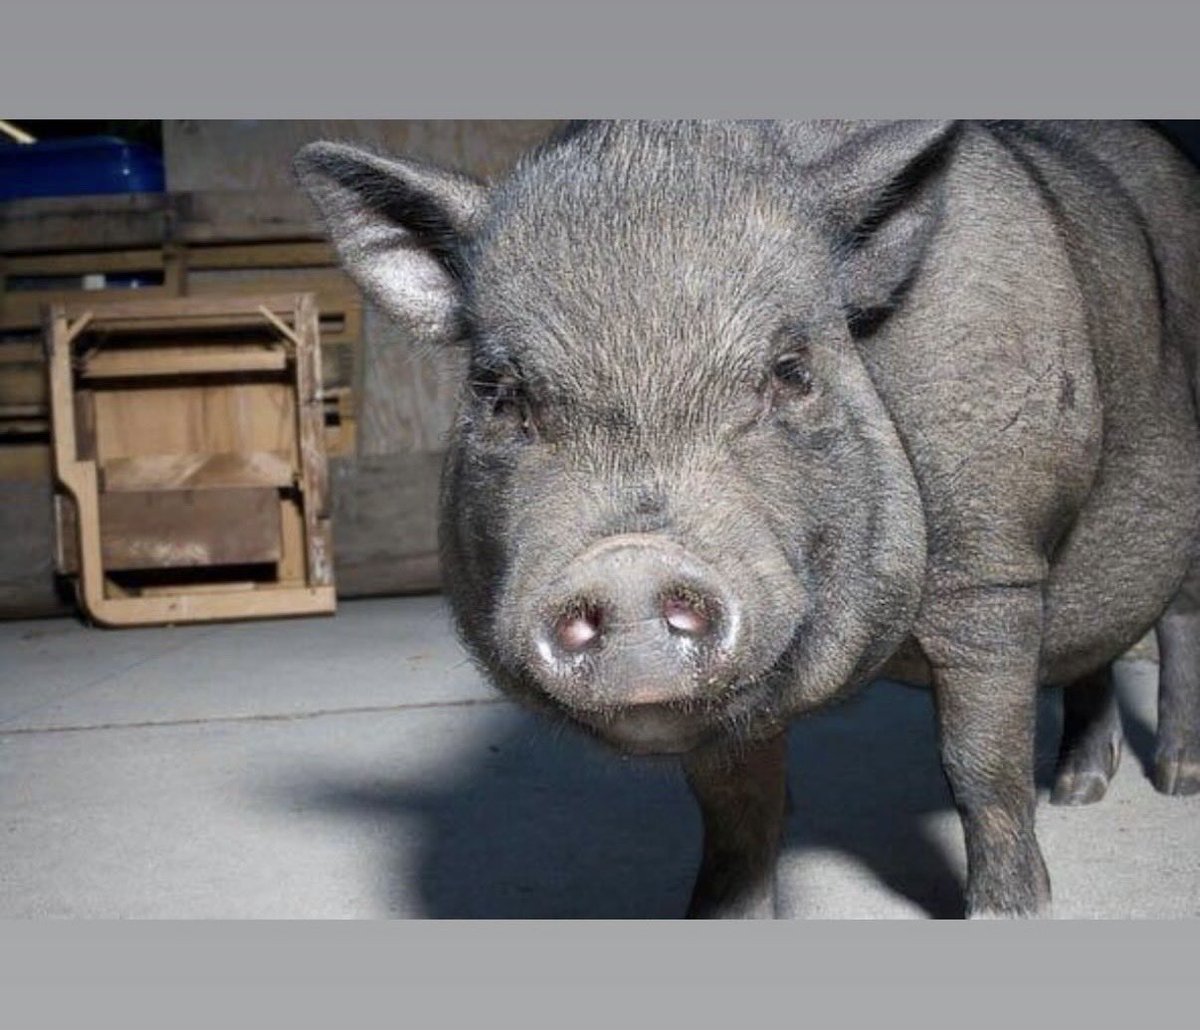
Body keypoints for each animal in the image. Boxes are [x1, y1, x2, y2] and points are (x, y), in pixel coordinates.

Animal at [296, 121, 1200, 918]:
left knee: (1177, 627)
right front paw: (719, 918)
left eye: (792, 371)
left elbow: (983, 763)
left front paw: (1010, 914)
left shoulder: (993, 561)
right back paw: (1080, 791)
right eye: (498, 394)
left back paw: (1174, 781)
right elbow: (739, 811)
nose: (629, 563)